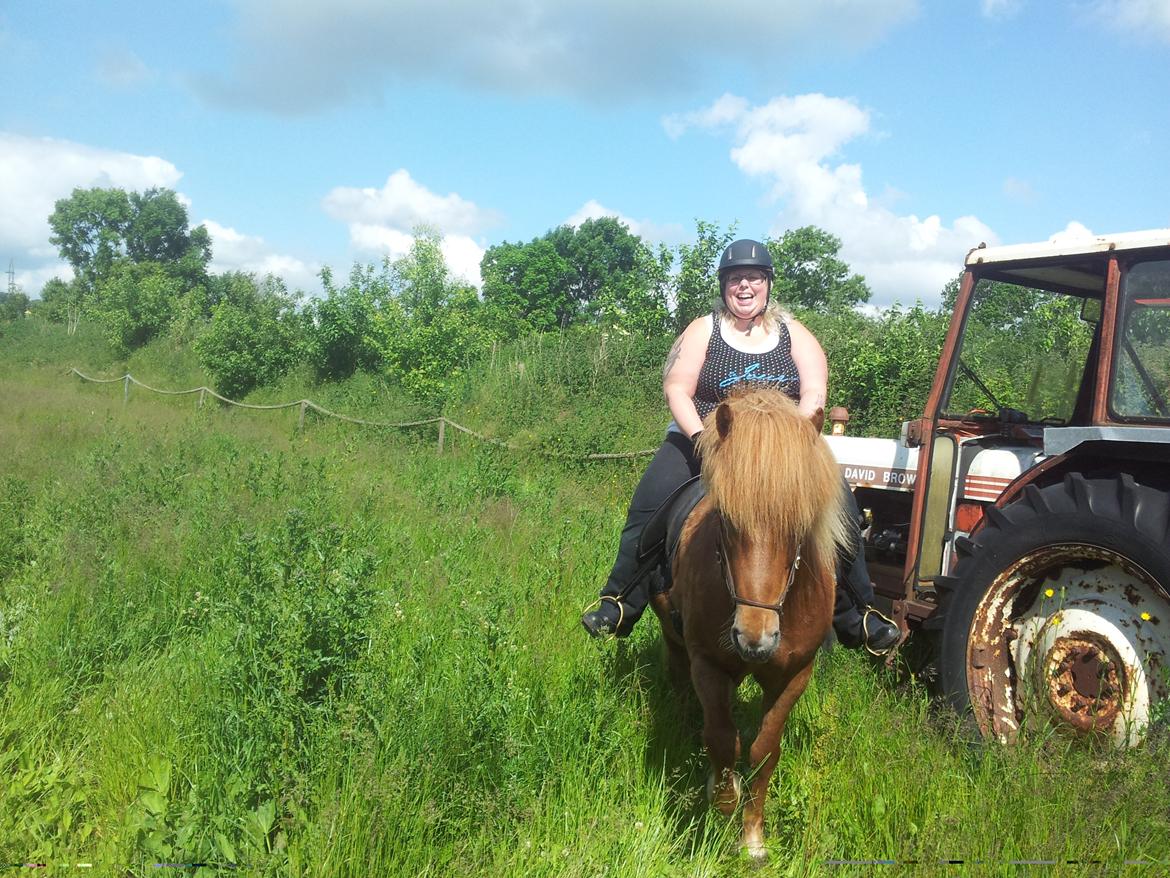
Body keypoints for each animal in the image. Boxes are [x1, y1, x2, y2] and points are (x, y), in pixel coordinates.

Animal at [650, 388, 851, 861]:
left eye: (799, 526)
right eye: (724, 519)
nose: (753, 640)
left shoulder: (794, 675)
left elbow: (763, 749)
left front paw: (752, 837)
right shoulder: (708, 662)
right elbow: (723, 739)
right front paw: (723, 799)